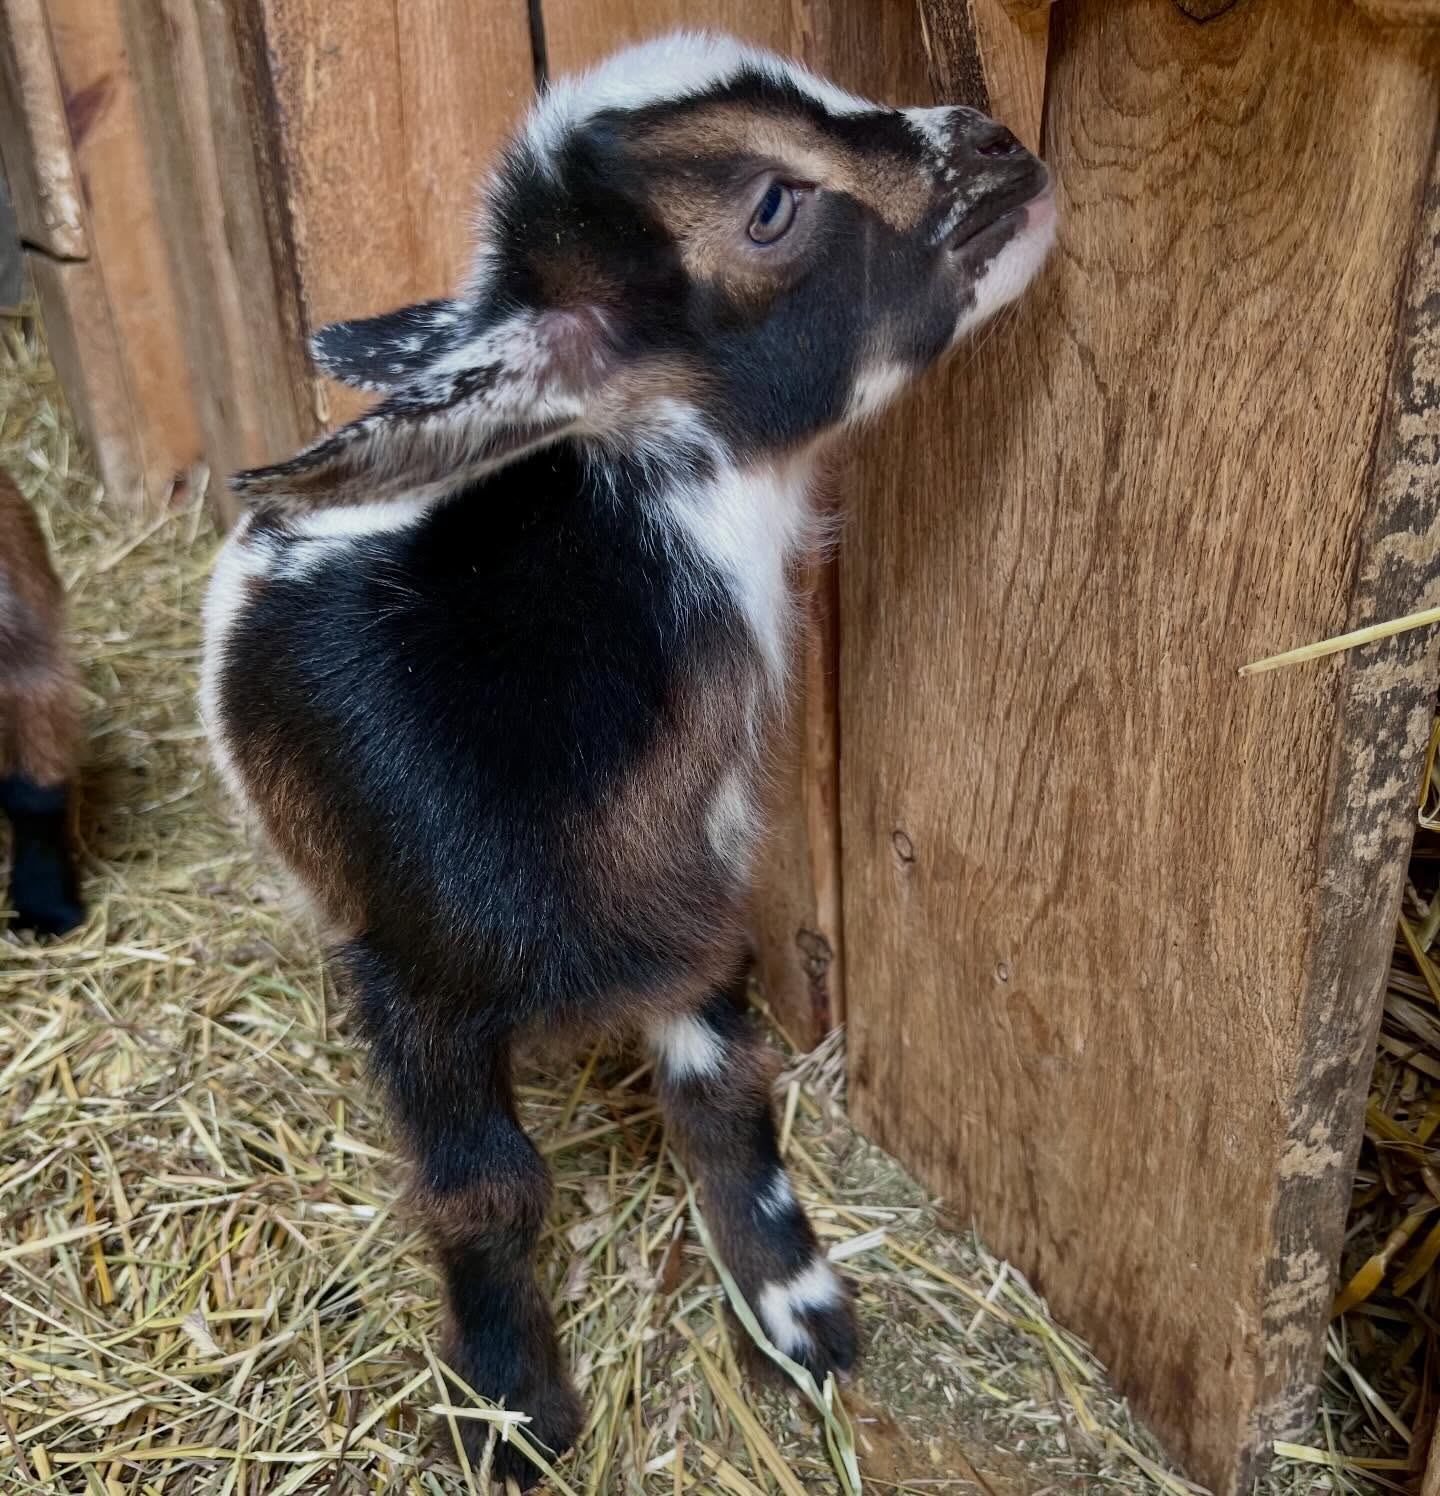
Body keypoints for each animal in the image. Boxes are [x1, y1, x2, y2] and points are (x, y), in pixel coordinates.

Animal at [202, 32, 1055, 1486]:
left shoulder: (695, 908)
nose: (1004, 147)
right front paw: (514, 1412)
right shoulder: (418, 987)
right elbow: (483, 1190)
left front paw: (796, 1307)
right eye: (770, 203)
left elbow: (724, 1094)